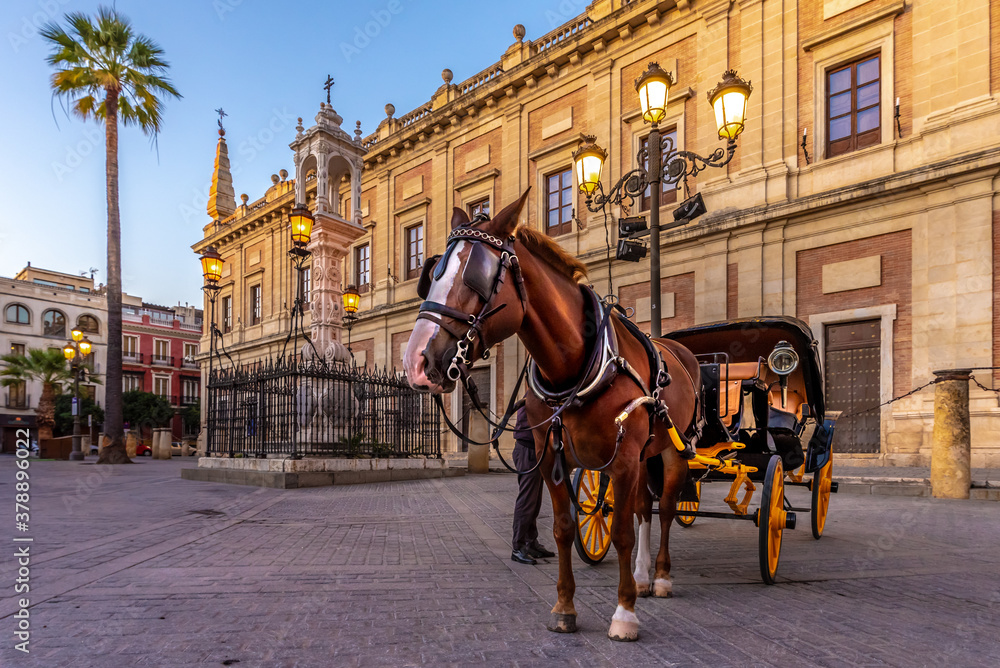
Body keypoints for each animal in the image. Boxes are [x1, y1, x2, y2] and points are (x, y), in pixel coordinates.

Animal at [403, 190, 701, 641]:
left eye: (476, 275)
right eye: (430, 275)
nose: (415, 362)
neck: (582, 362)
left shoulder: (624, 460)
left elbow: (621, 533)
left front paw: (624, 613)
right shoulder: (551, 459)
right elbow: (563, 529)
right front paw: (565, 608)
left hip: (671, 451)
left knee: (664, 509)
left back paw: (661, 578)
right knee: (644, 509)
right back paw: (642, 577)